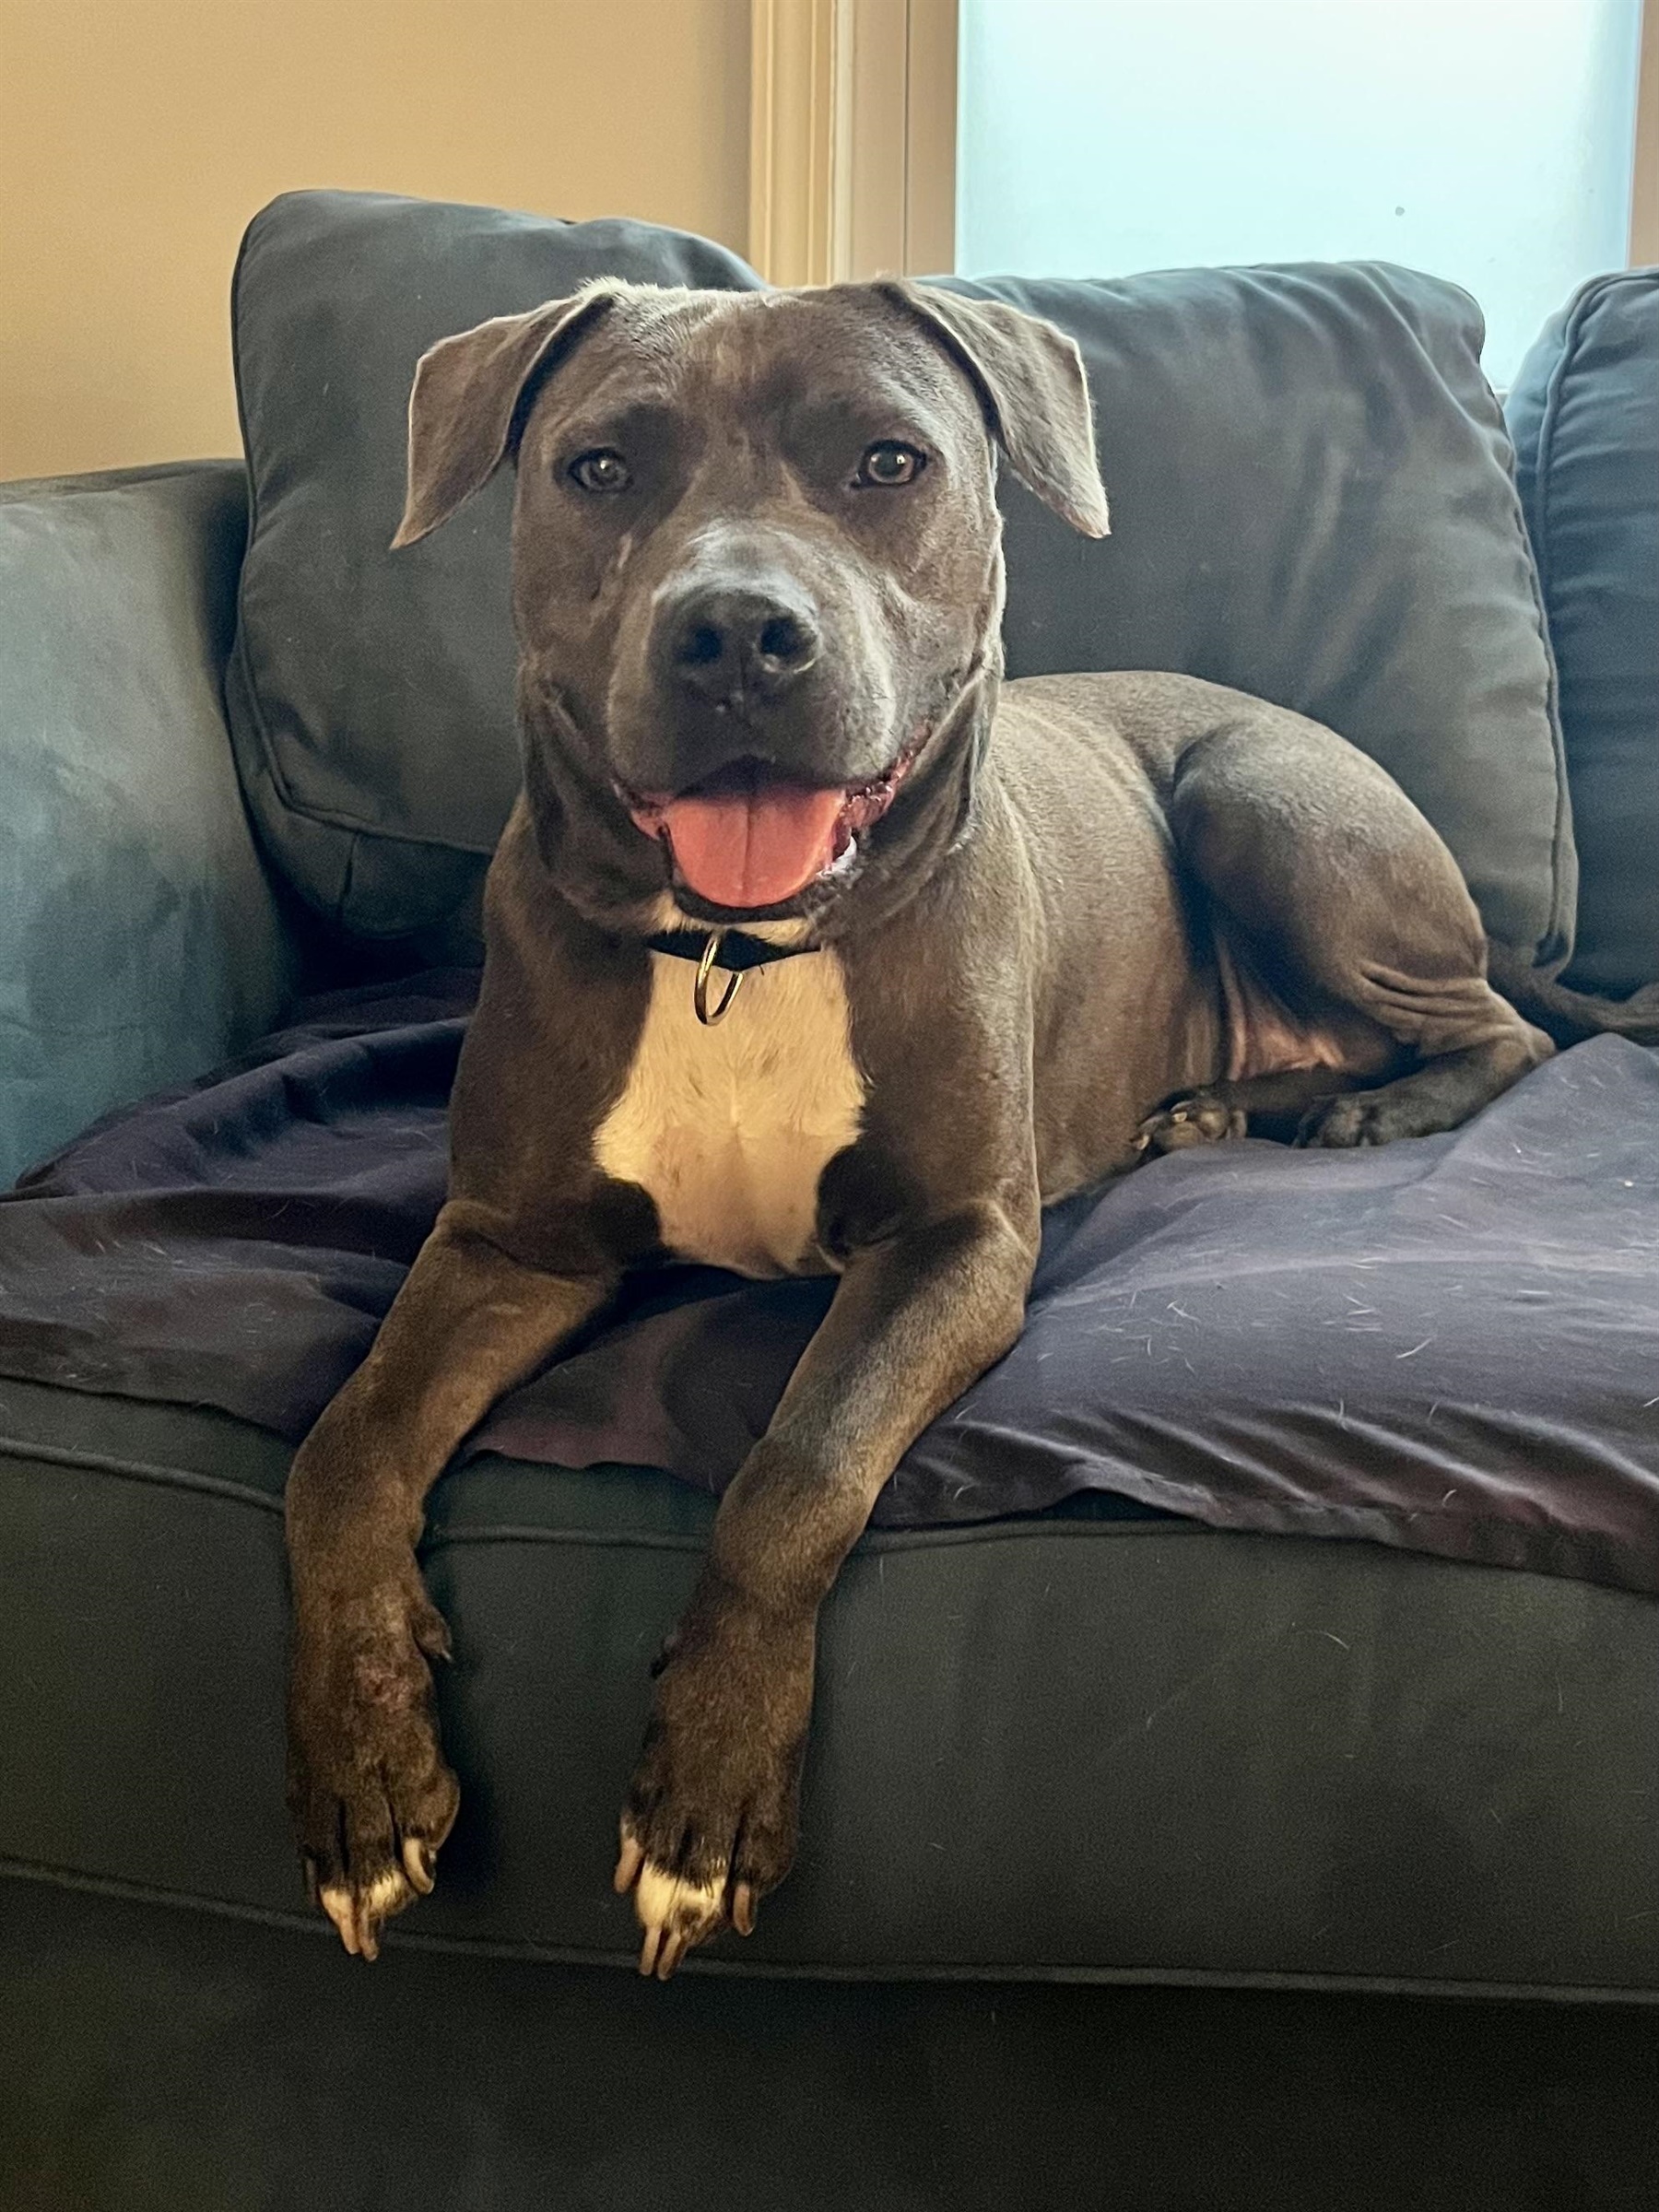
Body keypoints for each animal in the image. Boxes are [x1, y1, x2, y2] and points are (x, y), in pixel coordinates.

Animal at [282, 276, 1554, 1976]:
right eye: (600, 469)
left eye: (889, 462)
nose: (737, 631)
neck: (734, 956)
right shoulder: (510, 1245)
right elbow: (342, 1450)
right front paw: (364, 1777)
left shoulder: (956, 1244)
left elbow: (800, 1464)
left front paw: (708, 1797)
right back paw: (1231, 1102)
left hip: (1262, 800)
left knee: (1505, 1028)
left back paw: (1377, 1107)